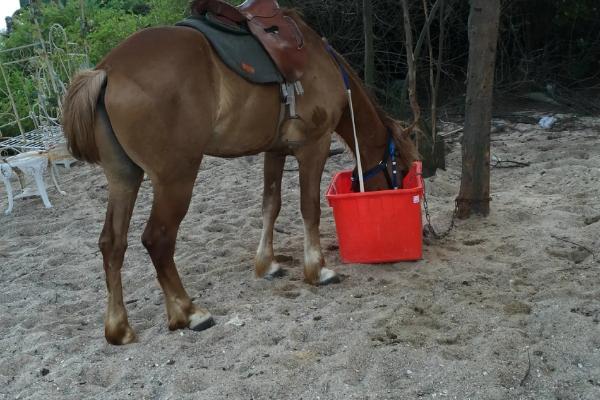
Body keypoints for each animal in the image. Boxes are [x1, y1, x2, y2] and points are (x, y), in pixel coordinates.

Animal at [61, 7, 418, 344]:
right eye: (399, 167)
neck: (321, 60)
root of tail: (107, 70)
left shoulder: (275, 150)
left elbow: (270, 205)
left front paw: (267, 264)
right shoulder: (313, 147)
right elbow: (309, 208)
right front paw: (317, 270)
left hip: (124, 177)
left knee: (112, 243)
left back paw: (118, 328)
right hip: (175, 179)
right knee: (157, 239)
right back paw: (188, 313)